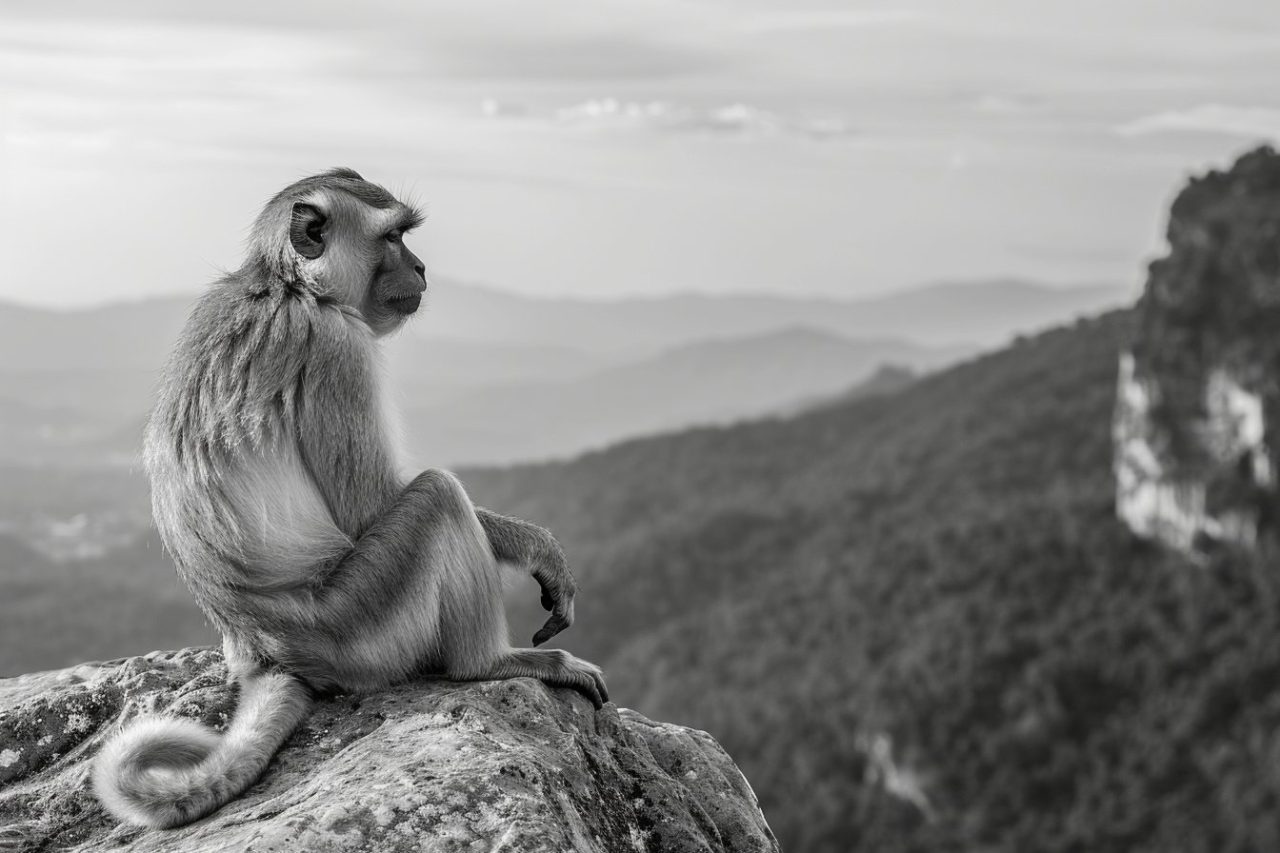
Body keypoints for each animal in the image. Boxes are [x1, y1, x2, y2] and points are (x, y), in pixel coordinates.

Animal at [92, 168, 607, 830]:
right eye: (392, 238)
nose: (420, 267)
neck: (290, 288)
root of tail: (260, 653)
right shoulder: (336, 348)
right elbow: (371, 506)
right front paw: (537, 546)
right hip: (361, 627)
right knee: (438, 498)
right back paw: (488, 664)